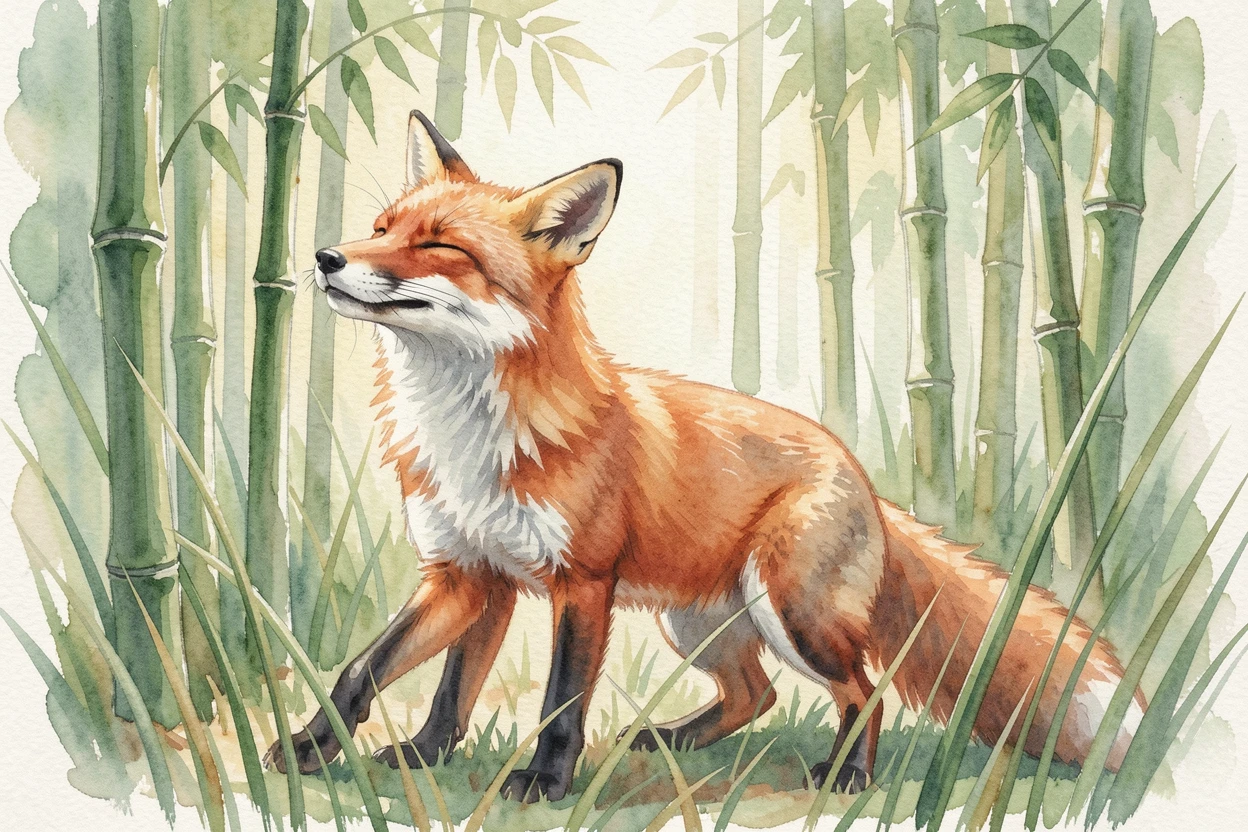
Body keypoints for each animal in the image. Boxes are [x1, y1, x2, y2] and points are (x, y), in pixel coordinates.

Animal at [264, 111, 1145, 802]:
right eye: (382, 228)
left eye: (442, 246)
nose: (327, 258)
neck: (467, 432)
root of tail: (861, 475)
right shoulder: (471, 575)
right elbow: (389, 676)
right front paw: (370, 753)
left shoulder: (582, 583)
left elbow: (560, 702)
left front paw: (543, 784)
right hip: (698, 624)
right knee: (755, 695)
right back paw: (671, 740)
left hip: (790, 611)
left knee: (863, 688)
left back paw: (848, 775)